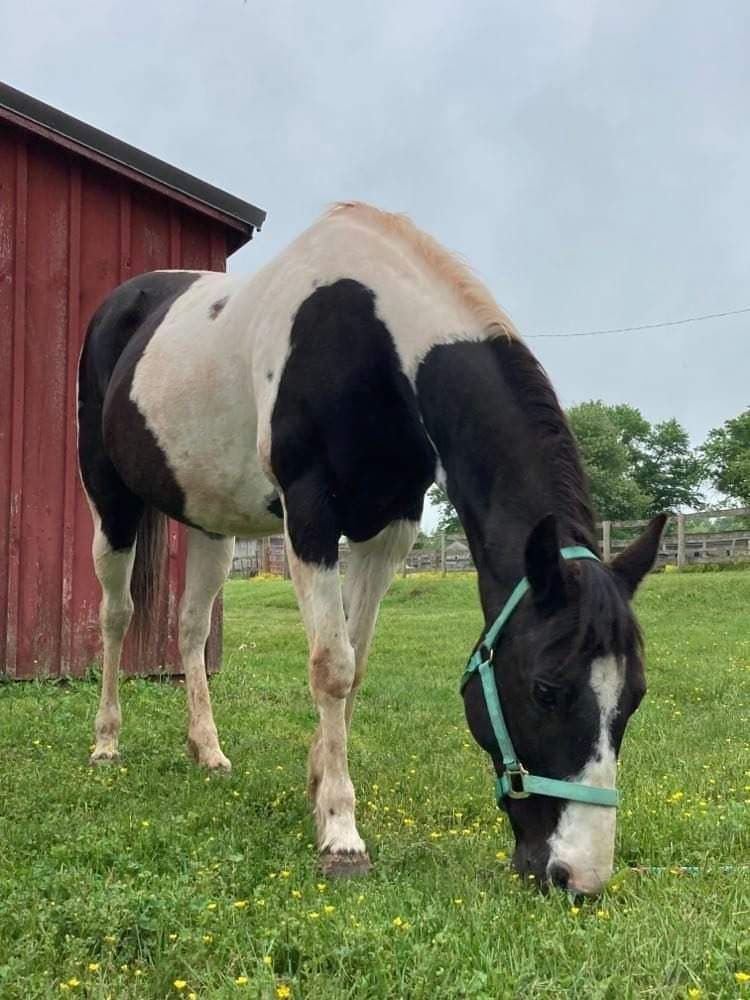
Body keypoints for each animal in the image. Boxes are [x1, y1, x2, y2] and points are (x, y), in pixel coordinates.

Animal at [76, 199, 664, 888]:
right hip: (109, 501)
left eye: (635, 695)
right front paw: (340, 833)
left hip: (210, 524)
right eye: (547, 688)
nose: (580, 877)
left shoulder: (390, 529)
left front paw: (317, 785)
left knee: (191, 627)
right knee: (117, 616)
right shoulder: (310, 517)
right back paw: (106, 741)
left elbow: (356, 664)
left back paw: (208, 750)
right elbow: (331, 667)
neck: (372, 339)